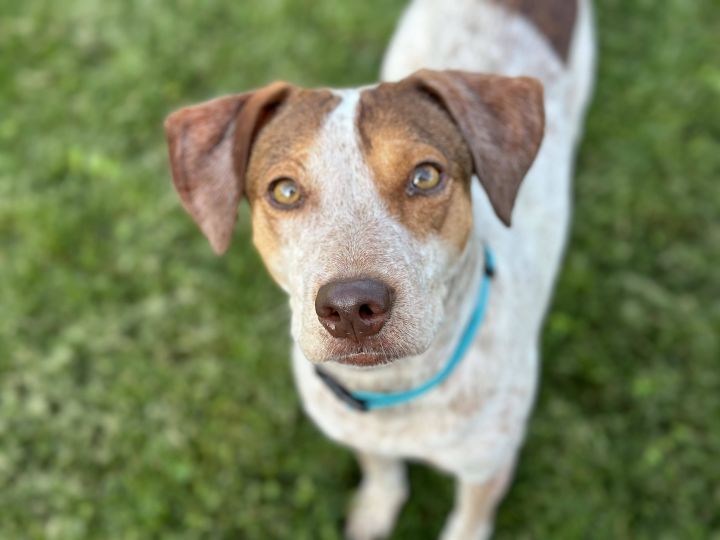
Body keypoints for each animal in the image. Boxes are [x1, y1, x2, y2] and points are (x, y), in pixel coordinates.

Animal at [165, 2, 596, 536]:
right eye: (284, 190)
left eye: (426, 176)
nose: (352, 307)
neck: (396, 392)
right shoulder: (360, 435)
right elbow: (381, 472)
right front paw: (375, 510)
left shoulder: (486, 469)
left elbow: (467, 522)